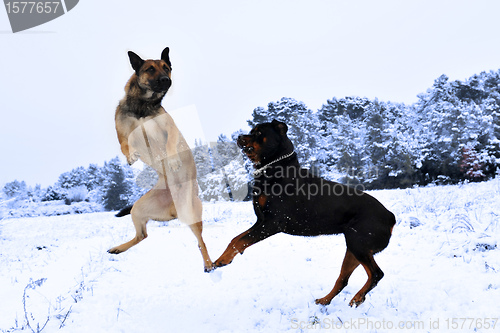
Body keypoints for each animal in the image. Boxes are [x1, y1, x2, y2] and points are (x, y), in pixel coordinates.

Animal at [108, 47, 213, 272]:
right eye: (150, 69)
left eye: (166, 68)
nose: (166, 80)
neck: (143, 106)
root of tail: (174, 207)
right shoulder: (122, 133)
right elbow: (124, 145)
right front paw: (131, 156)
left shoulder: (170, 129)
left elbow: (170, 145)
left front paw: (172, 161)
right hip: (139, 208)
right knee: (142, 235)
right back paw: (119, 248)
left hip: (190, 212)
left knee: (201, 243)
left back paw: (209, 264)